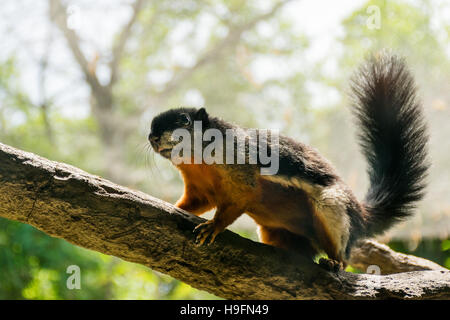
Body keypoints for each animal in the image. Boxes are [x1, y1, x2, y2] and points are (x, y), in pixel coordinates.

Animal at [148, 52, 428, 270]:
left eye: (184, 120)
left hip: (332, 209)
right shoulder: (200, 186)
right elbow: (196, 201)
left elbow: (240, 197)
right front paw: (173, 206)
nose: (152, 137)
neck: (197, 162)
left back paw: (335, 261)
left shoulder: (239, 163)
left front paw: (213, 226)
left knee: (342, 251)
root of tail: (360, 214)